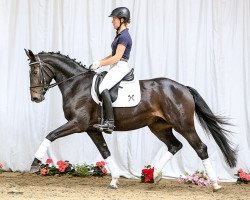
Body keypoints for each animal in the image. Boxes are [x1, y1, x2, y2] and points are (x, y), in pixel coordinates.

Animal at [24, 49, 236, 191]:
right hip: (158, 126)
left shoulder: (78, 123)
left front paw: (34, 163)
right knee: (175, 145)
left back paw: (215, 184)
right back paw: (153, 175)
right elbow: (105, 152)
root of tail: (183, 87)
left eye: (34, 72)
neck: (77, 84)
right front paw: (114, 180)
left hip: (184, 125)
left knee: (200, 148)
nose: (35, 98)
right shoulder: (92, 129)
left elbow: (50, 134)